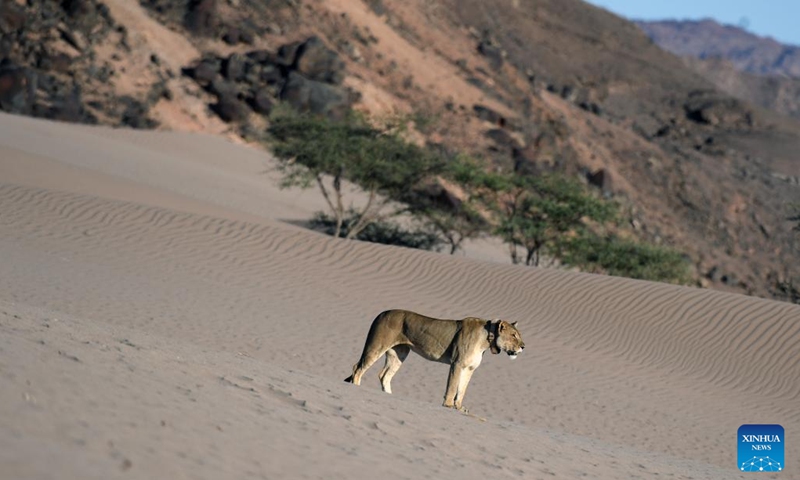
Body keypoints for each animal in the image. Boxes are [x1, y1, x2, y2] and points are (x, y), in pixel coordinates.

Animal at [344, 312, 524, 412]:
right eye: (514, 335)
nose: (523, 346)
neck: (487, 339)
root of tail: (381, 314)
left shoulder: (469, 368)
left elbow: (462, 389)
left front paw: (459, 407)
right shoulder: (457, 363)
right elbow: (452, 386)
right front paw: (448, 405)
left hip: (399, 353)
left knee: (384, 375)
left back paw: (389, 395)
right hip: (377, 345)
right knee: (357, 368)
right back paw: (357, 387)